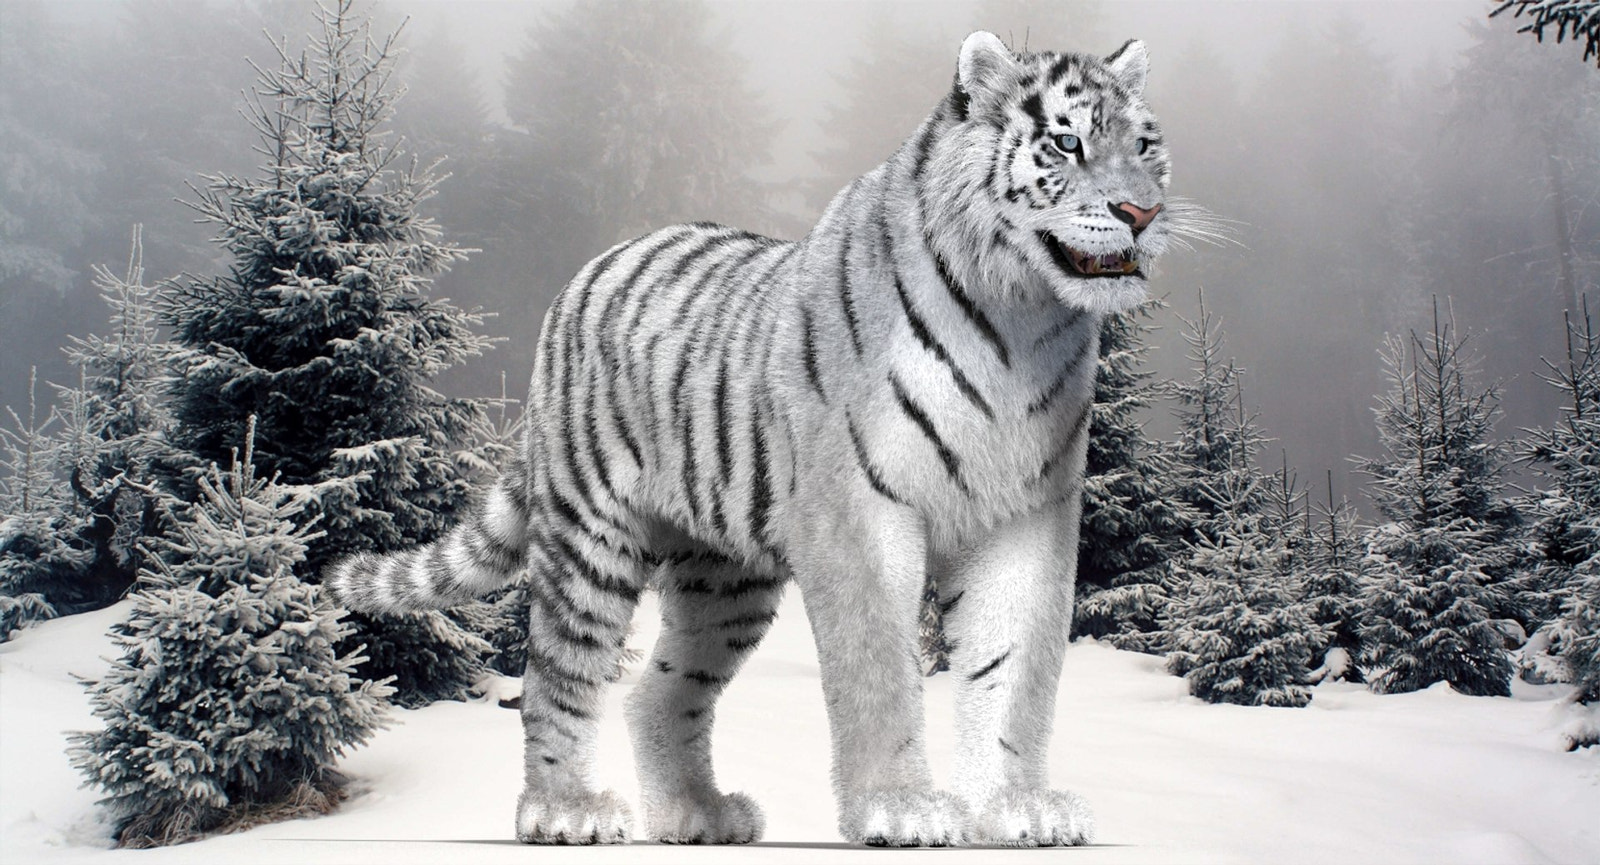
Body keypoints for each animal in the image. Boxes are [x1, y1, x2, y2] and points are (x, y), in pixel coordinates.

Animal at [329, 31, 1194, 847]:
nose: (1143, 213)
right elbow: (881, 670)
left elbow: (1013, 672)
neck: (1022, 320)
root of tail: (591, 268)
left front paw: (1017, 808)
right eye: (1067, 142)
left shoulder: (1024, 514)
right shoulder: (860, 513)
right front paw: (901, 807)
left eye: (1146, 145)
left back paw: (696, 813)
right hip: (589, 537)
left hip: (724, 579)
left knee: (659, 691)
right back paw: (564, 811)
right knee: (557, 677)